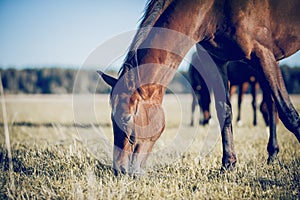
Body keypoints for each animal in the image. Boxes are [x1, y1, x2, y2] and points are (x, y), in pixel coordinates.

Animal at [99, 0, 300, 175]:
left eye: (126, 118)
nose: (119, 169)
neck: (212, 9)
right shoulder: (217, 61)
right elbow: (224, 111)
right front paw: (228, 165)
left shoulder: (262, 54)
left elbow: (289, 114)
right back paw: (272, 154)